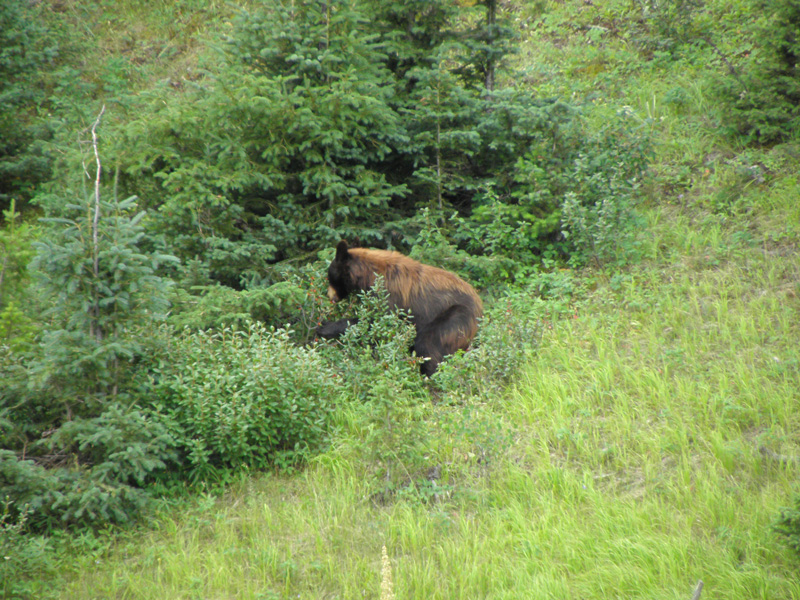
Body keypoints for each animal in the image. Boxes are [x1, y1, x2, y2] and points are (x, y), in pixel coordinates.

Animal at [316, 240, 484, 376]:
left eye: (330, 276)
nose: (329, 296)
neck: (369, 275)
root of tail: (480, 307)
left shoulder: (388, 295)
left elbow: (378, 322)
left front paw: (325, 327)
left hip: (456, 317)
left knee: (429, 344)